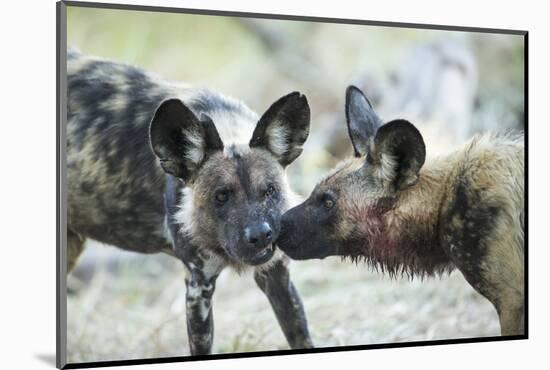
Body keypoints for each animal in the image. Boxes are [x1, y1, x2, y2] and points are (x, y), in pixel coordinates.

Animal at [66, 50, 314, 354]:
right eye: (221, 196)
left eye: (269, 190)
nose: (260, 235)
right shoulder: (198, 288)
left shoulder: (277, 274)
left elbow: (300, 335)